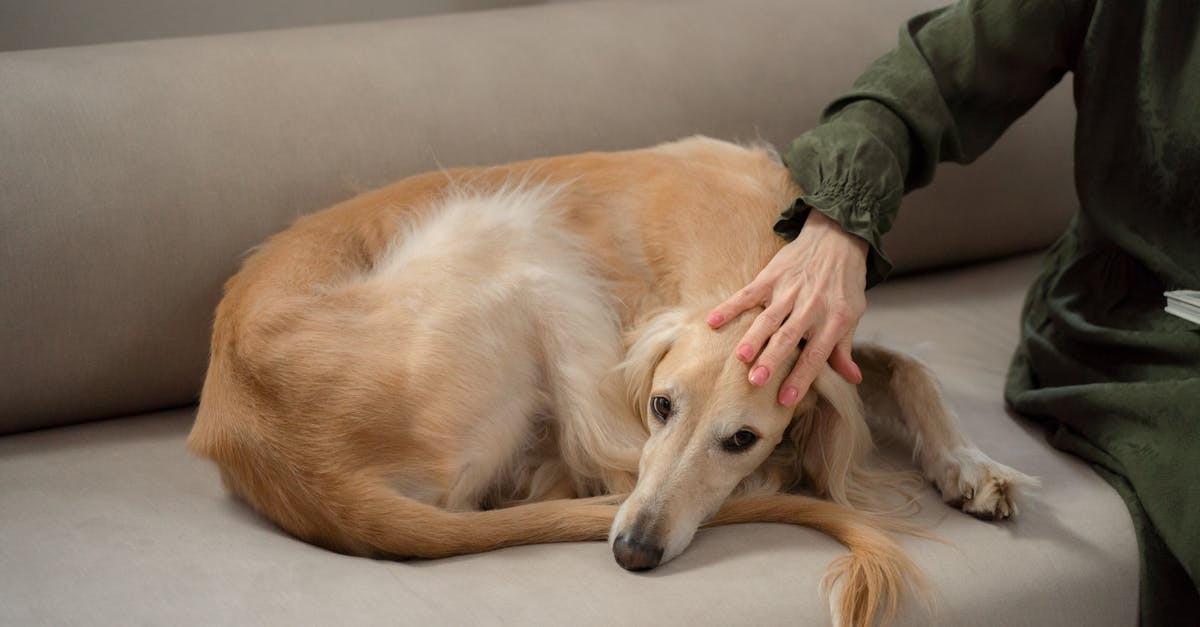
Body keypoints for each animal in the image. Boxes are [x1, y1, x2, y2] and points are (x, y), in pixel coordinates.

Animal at [187, 136, 1032, 624]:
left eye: (741, 437)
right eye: (661, 404)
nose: (632, 551)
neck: (739, 241)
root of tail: (298, 465)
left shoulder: (834, 345)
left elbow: (909, 368)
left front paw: (972, 464)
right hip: (512, 232)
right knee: (581, 466)